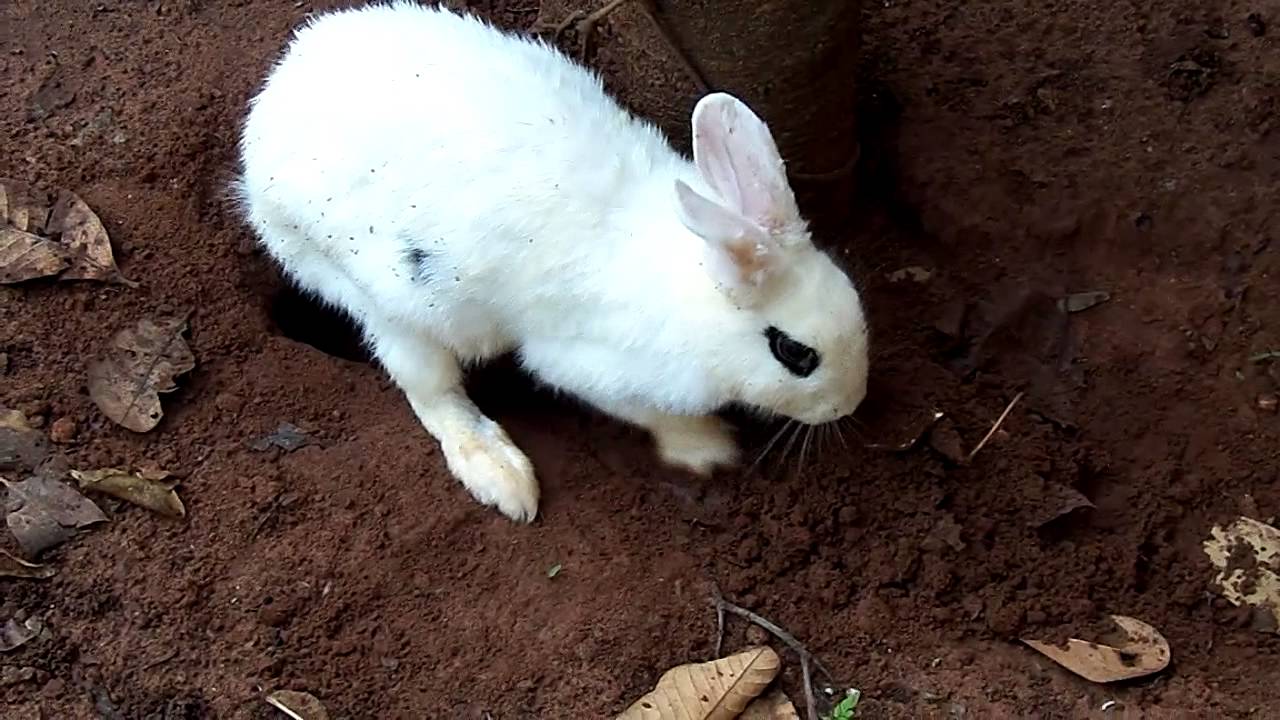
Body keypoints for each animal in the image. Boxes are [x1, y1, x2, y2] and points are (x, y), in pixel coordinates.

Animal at [235, 1, 869, 522]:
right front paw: (709, 450)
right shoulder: (589, 367)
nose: (850, 404)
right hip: (393, 303)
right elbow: (649, 414)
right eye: (794, 354)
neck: (694, 294)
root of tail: (263, 124)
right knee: (430, 390)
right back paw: (500, 474)